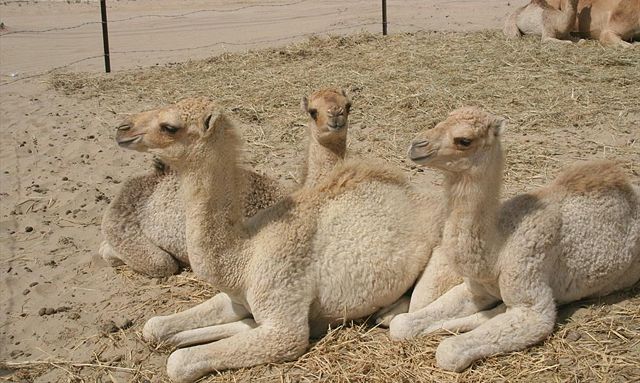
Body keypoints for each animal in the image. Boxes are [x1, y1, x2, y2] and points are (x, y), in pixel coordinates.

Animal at [120, 98, 458, 380]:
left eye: (169, 126)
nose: (123, 129)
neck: (244, 255)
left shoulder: (284, 318)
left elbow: (179, 362)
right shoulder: (239, 297)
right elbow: (154, 326)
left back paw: (388, 312)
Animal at [390, 106, 640, 374]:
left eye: (464, 140)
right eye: (441, 121)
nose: (416, 146)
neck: (498, 250)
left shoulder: (531, 292)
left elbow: (448, 351)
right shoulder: (476, 289)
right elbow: (400, 325)